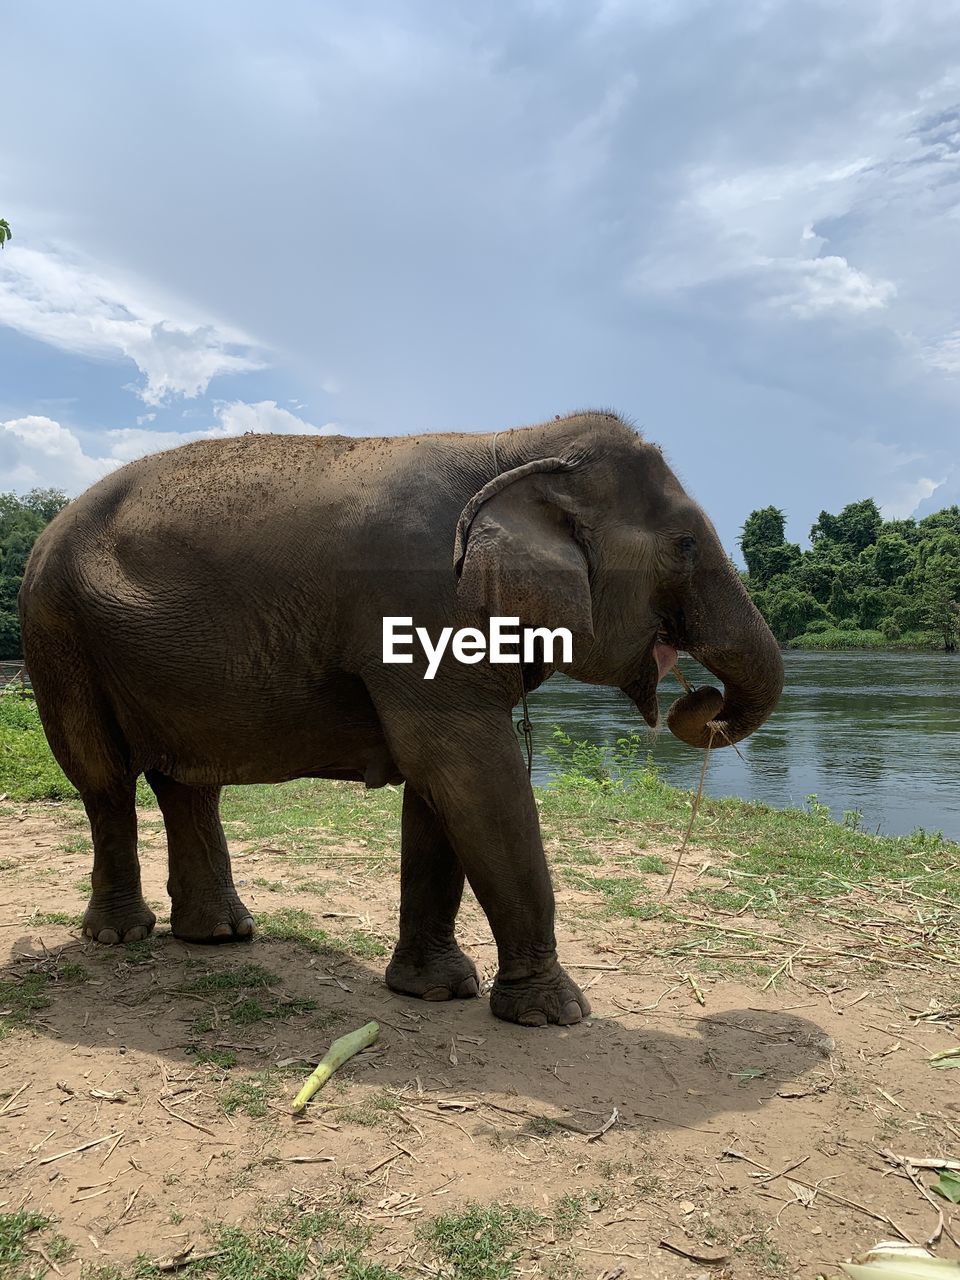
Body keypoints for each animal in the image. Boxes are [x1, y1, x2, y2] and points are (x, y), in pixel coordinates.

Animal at [18, 411, 783, 1026]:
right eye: (685, 545)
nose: (701, 701)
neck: (514, 442)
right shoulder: (421, 603)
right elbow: (467, 773)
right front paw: (555, 1015)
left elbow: (440, 792)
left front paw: (436, 993)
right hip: (57, 631)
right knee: (103, 780)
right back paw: (120, 937)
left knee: (186, 783)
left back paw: (220, 935)